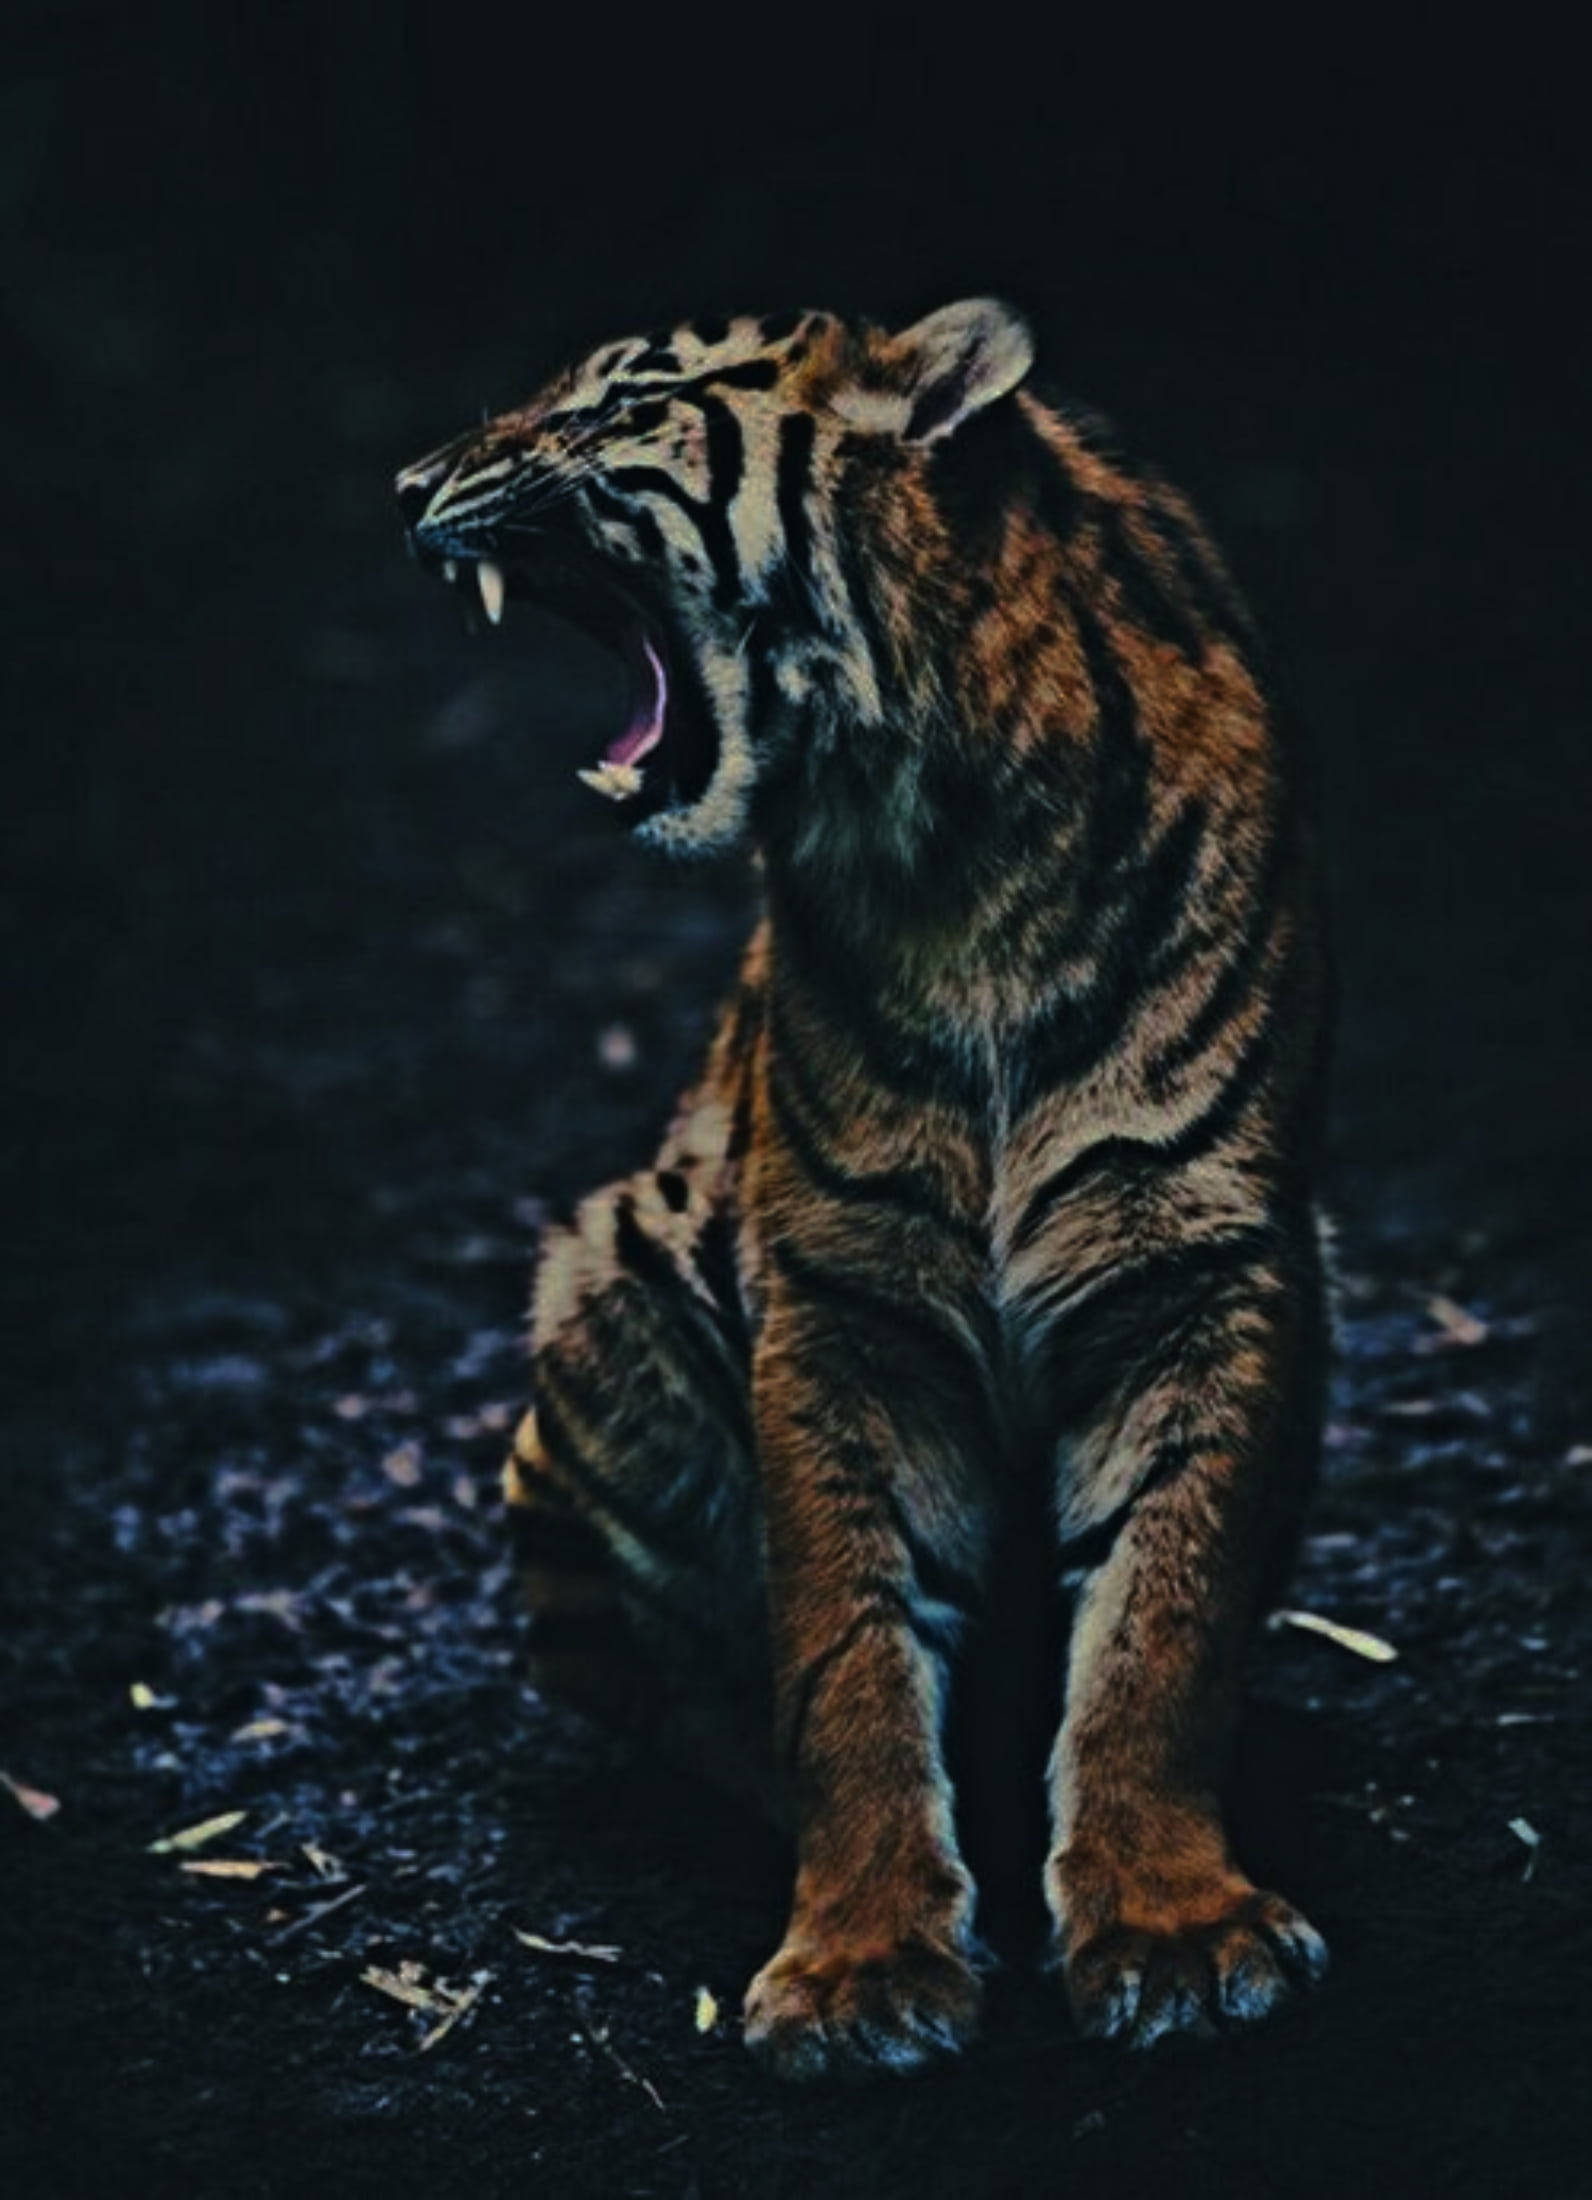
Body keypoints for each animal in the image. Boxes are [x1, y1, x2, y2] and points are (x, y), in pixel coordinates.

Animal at [395, 298, 1332, 2080]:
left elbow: (1160, 1630)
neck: (949, 849)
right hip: (612, 1278)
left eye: (617, 403)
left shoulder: (1197, 1274)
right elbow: (845, 1650)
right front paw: (863, 1968)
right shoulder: (845, 1303)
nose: (411, 482)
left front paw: (1173, 1935)